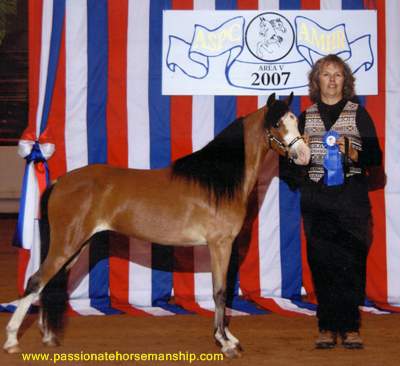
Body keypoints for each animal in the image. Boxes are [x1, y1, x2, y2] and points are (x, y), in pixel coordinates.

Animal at [3, 91, 310, 358]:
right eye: (277, 124)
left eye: (295, 121)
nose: (304, 155)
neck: (219, 181)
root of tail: (61, 181)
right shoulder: (219, 245)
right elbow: (220, 291)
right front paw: (224, 343)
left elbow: (224, 292)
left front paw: (229, 338)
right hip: (66, 245)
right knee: (36, 281)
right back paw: (11, 340)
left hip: (75, 247)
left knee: (49, 284)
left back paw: (47, 336)